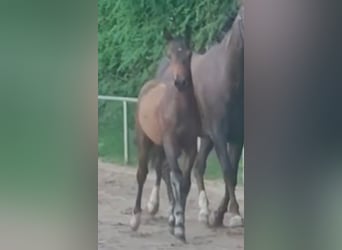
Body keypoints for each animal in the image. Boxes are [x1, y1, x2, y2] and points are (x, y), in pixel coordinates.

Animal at [130, 28, 200, 241]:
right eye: (170, 55)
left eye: (189, 54)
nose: (180, 81)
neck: (180, 109)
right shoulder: (170, 144)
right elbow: (177, 178)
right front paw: (179, 225)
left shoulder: (190, 147)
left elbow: (184, 182)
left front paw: (179, 224)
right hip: (145, 141)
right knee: (143, 173)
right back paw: (135, 218)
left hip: (161, 146)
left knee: (164, 171)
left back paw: (169, 218)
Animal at [153, 6, 246, 228]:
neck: (228, 75)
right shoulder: (219, 134)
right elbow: (227, 171)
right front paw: (234, 214)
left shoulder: (236, 136)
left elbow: (232, 174)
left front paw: (218, 215)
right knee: (162, 167)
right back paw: (160, 206)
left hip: (202, 138)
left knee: (195, 167)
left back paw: (203, 210)